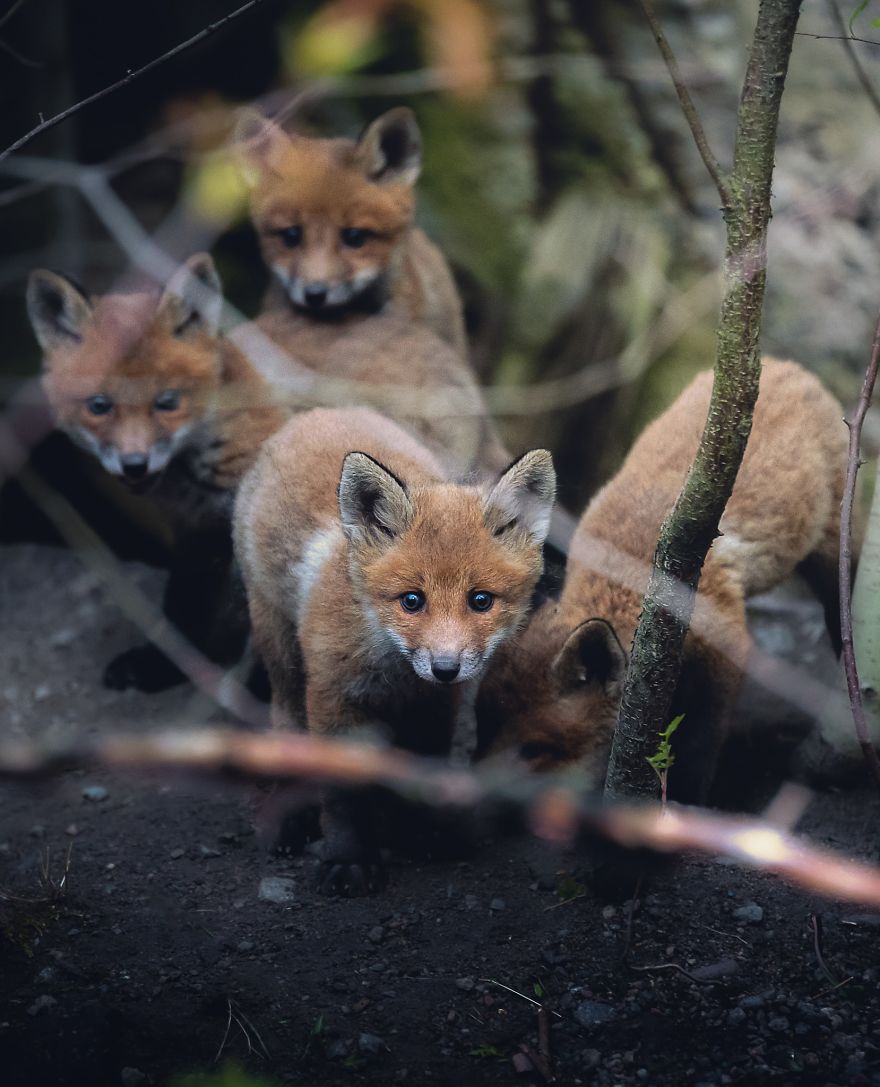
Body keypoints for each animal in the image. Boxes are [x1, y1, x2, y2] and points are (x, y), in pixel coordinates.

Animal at [27, 253, 287, 692]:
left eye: (167, 402)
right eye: (99, 406)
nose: (135, 463)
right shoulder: (193, 532)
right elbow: (183, 607)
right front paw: (163, 665)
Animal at [233, 406, 555, 893]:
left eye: (481, 600)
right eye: (412, 600)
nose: (445, 667)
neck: (395, 672)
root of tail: (321, 412)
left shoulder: (437, 707)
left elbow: (421, 769)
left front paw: (419, 832)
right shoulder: (332, 696)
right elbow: (344, 796)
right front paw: (349, 857)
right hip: (281, 651)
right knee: (285, 722)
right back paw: (291, 814)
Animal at [477, 359, 847, 801]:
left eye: (535, 750)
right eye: (482, 732)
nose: (467, 798)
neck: (633, 579)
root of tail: (784, 364)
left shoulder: (725, 645)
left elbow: (699, 749)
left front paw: (686, 801)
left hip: (833, 543)